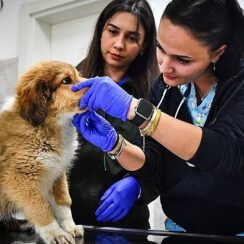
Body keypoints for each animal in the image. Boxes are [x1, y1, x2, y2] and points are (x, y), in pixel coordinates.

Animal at [0, 60, 86, 244]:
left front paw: (70, 226)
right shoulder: (20, 178)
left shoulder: (57, 173)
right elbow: (41, 207)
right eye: (66, 80)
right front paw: (56, 233)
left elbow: (63, 202)